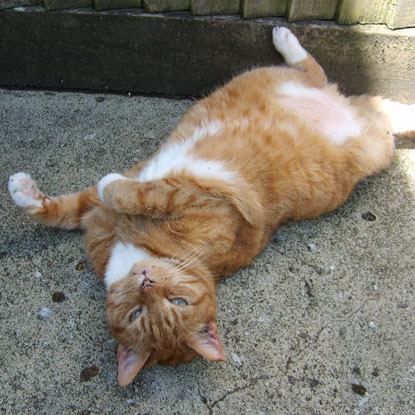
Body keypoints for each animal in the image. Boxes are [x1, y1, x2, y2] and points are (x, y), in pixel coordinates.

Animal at [8, 28, 414, 386]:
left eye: (178, 301)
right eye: (137, 312)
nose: (146, 280)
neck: (140, 249)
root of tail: (349, 113)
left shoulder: (194, 198)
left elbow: (137, 193)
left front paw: (112, 184)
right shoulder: (101, 212)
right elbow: (66, 209)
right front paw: (23, 191)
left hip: (370, 144)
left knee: (321, 73)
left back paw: (287, 41)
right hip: (317, 95)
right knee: (321, 74)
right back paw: (287, 41)